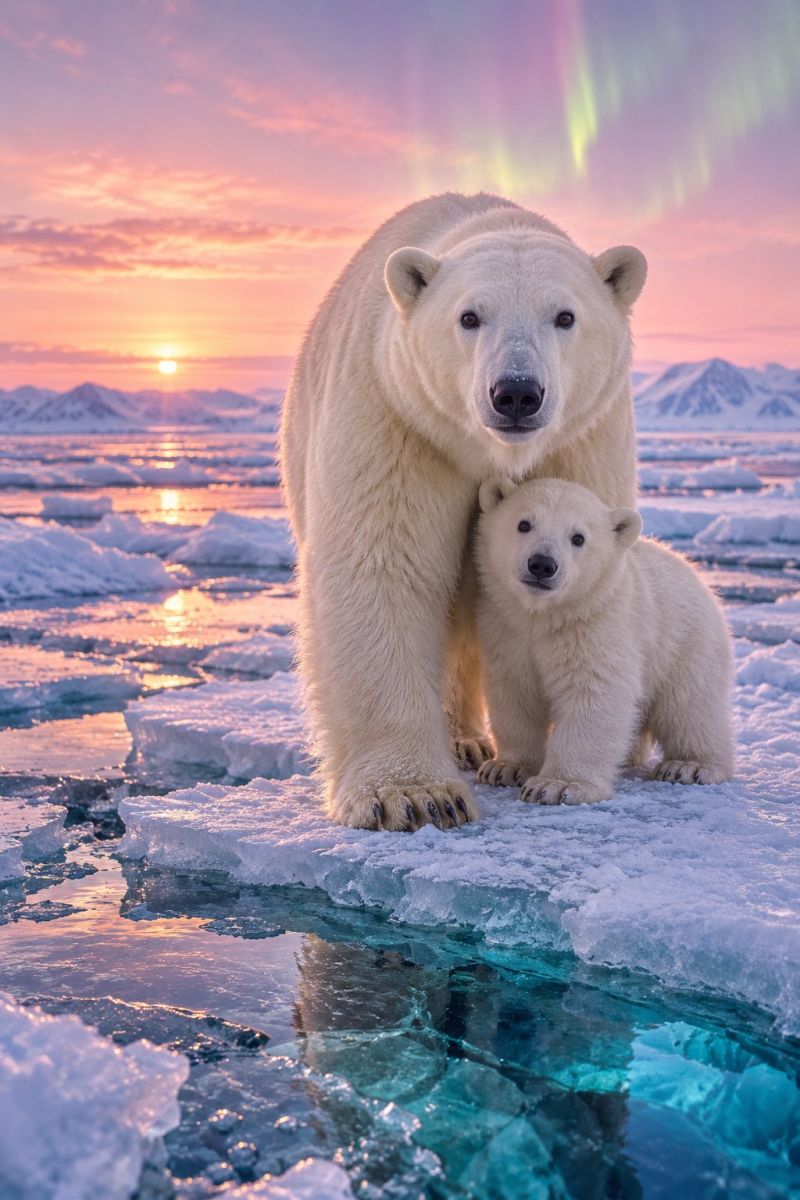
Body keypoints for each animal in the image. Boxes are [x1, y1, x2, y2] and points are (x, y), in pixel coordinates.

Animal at [280, 192, 647, 831]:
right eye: (470, 317)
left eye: (565, 316)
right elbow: (385, 570)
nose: (517, 393)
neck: (489, 449)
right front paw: (415, 795)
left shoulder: (583, 438)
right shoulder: (398, 419)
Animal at [475, 477, 735, 804]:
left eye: (578, 538)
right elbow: (514, 694)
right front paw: (505, 768)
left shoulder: (596, 627)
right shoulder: (506, 631)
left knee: (689, 705)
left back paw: (690, 765)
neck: (546, 616)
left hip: (686, 641)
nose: (542, 564)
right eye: (524, 524)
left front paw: (558, 785)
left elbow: (594, 693)